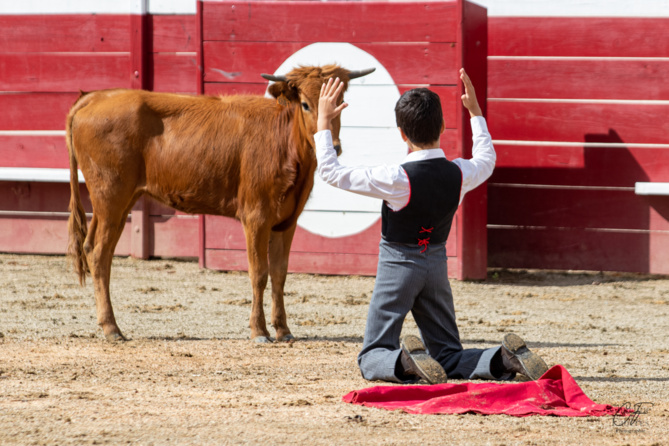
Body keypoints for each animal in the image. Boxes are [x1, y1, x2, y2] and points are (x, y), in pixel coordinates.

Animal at [66, 65, 376, 342]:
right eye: (305, 104)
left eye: (340, 104)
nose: (334, 147)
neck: (285, 144)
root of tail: (93, 97)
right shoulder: (256, 217)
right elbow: (259, 273)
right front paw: (259, 332)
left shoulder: (287, 221)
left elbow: (279, 273)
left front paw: (284, 330)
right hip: (111, 197)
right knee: (100, 254)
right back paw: (112, 329)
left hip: (119, 203)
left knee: (94, 248)